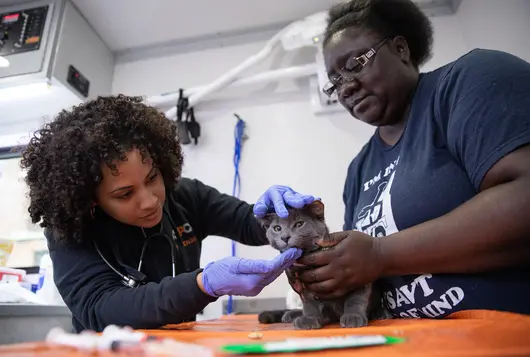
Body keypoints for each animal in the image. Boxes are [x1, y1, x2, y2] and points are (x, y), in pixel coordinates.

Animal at [254, 200, 390, 328]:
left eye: (299, 224)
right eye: (277, 228)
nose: (285, 237)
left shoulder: (359, 275)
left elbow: (356, 298)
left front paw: (353, 316)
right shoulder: (304, 284)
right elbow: (309, 303)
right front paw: (309, 318)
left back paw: (379, 312)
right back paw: (292, 314)